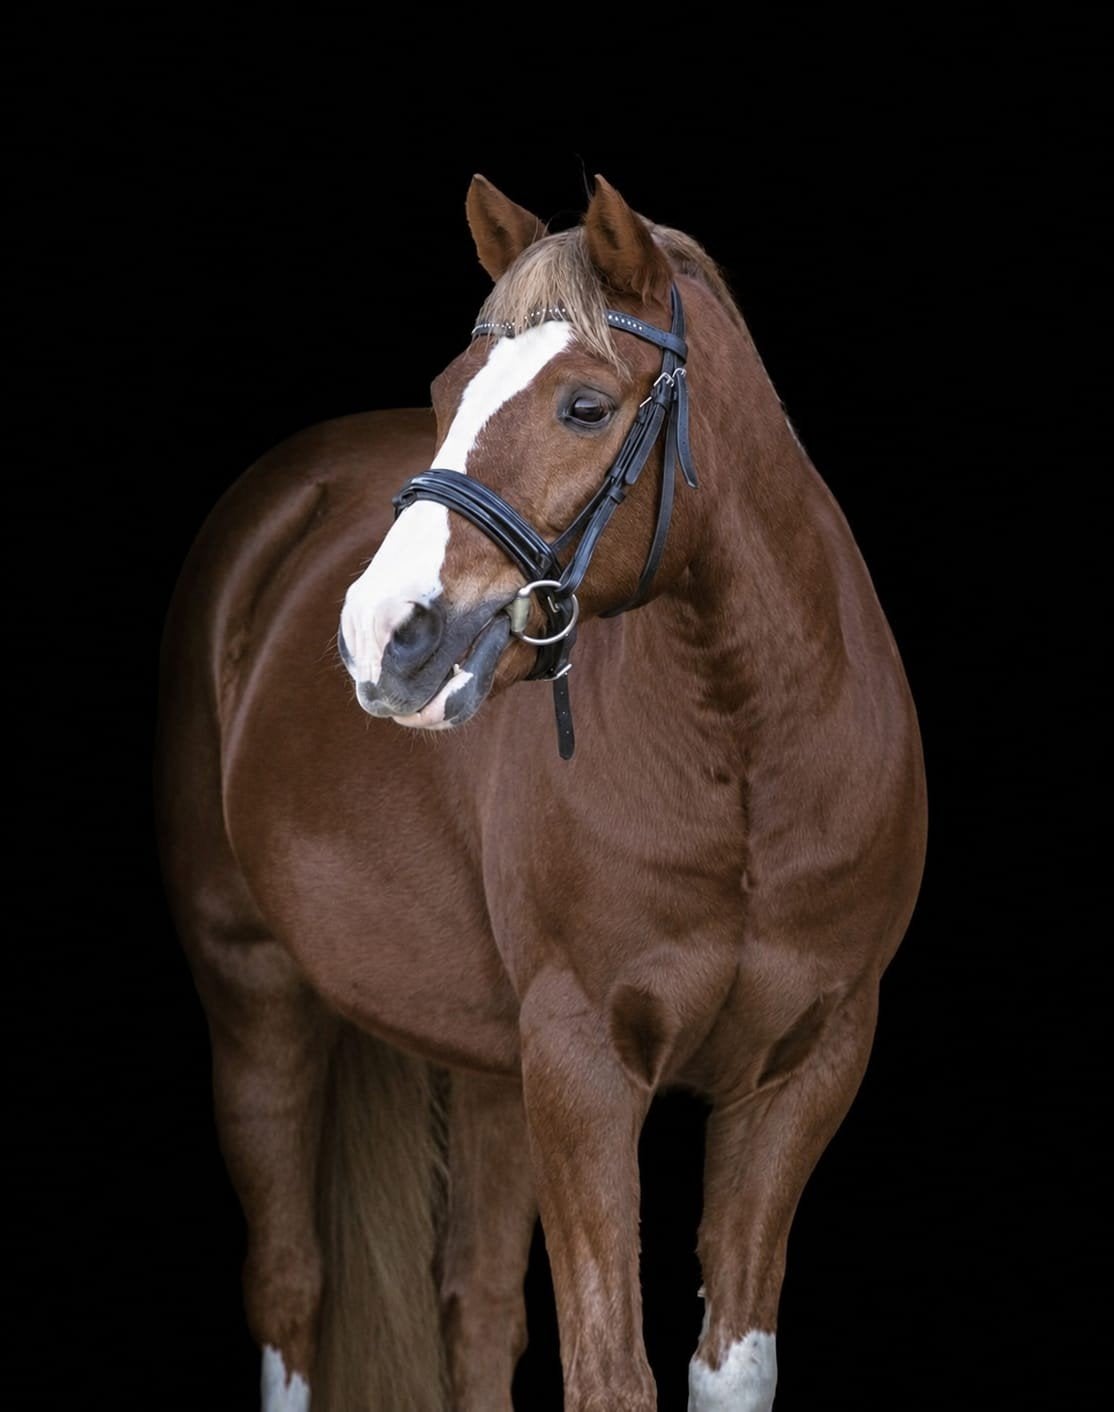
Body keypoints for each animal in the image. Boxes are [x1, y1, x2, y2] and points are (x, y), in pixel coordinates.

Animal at [155, 173, 927, 1412]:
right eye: (444, 392)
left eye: (584, 406)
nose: (381, 635)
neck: (749, 767)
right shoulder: (581, 1063)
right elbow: (611, 1373)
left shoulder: (802, 1069)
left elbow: (723, 1367)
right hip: (254, 987)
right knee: (289, 1289)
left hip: (488, 1061)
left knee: (473, 1306)